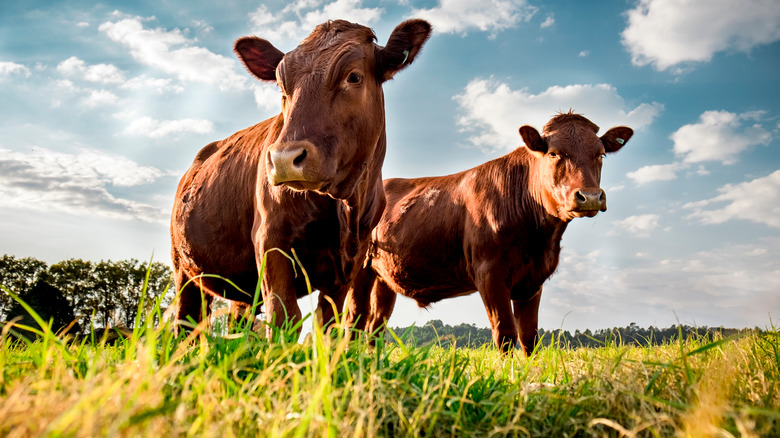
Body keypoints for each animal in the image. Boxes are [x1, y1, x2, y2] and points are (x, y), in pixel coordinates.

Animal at [170, 18, 432, 338]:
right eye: (283, 86)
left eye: (354, 77)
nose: (284, 159)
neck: (345, 206)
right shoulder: (269, 239)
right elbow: (284, 315)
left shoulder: (350, 262)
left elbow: (328, 324)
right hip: (184, 268)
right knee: (186, 322)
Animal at [348, 112, 632, 352]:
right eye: (553, 153)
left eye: (601, 154)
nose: (591, 197)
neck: (540, 240)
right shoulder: (489, 273)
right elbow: (505, 334)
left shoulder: (533, 280)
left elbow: (529, 337)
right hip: (360, 269)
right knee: (355, 321)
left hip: (384, 277)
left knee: (375, 326)